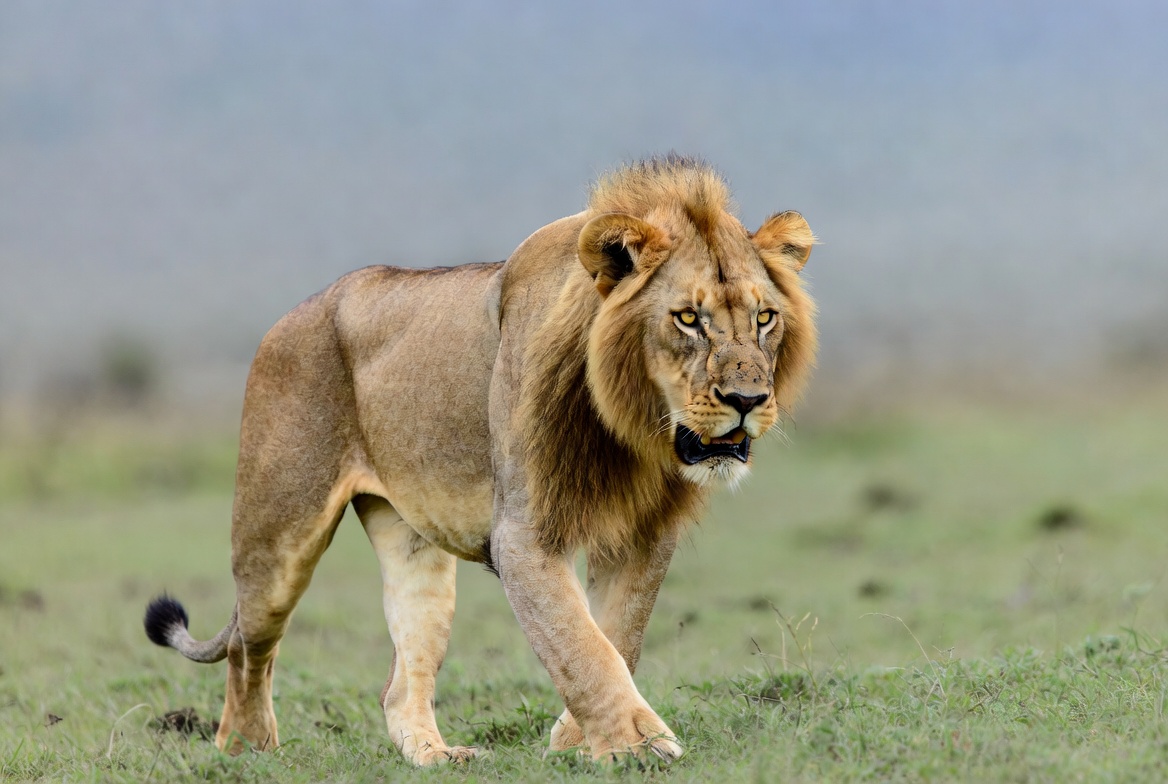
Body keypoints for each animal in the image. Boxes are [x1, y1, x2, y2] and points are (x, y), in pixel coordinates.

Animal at [143, 155, 817, 765]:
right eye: (687, 318)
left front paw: (578, 742)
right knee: (248, 645)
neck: (630, 430)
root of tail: (292, 314)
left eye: (764, 317)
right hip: (276, 536)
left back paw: (435, 755)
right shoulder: (520, 534)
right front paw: (638, 746)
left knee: (397, 682)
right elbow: (581, 645)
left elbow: (616, 634)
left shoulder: (644, 532)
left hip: (413, 545)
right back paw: (246, 748)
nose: (747, 401)